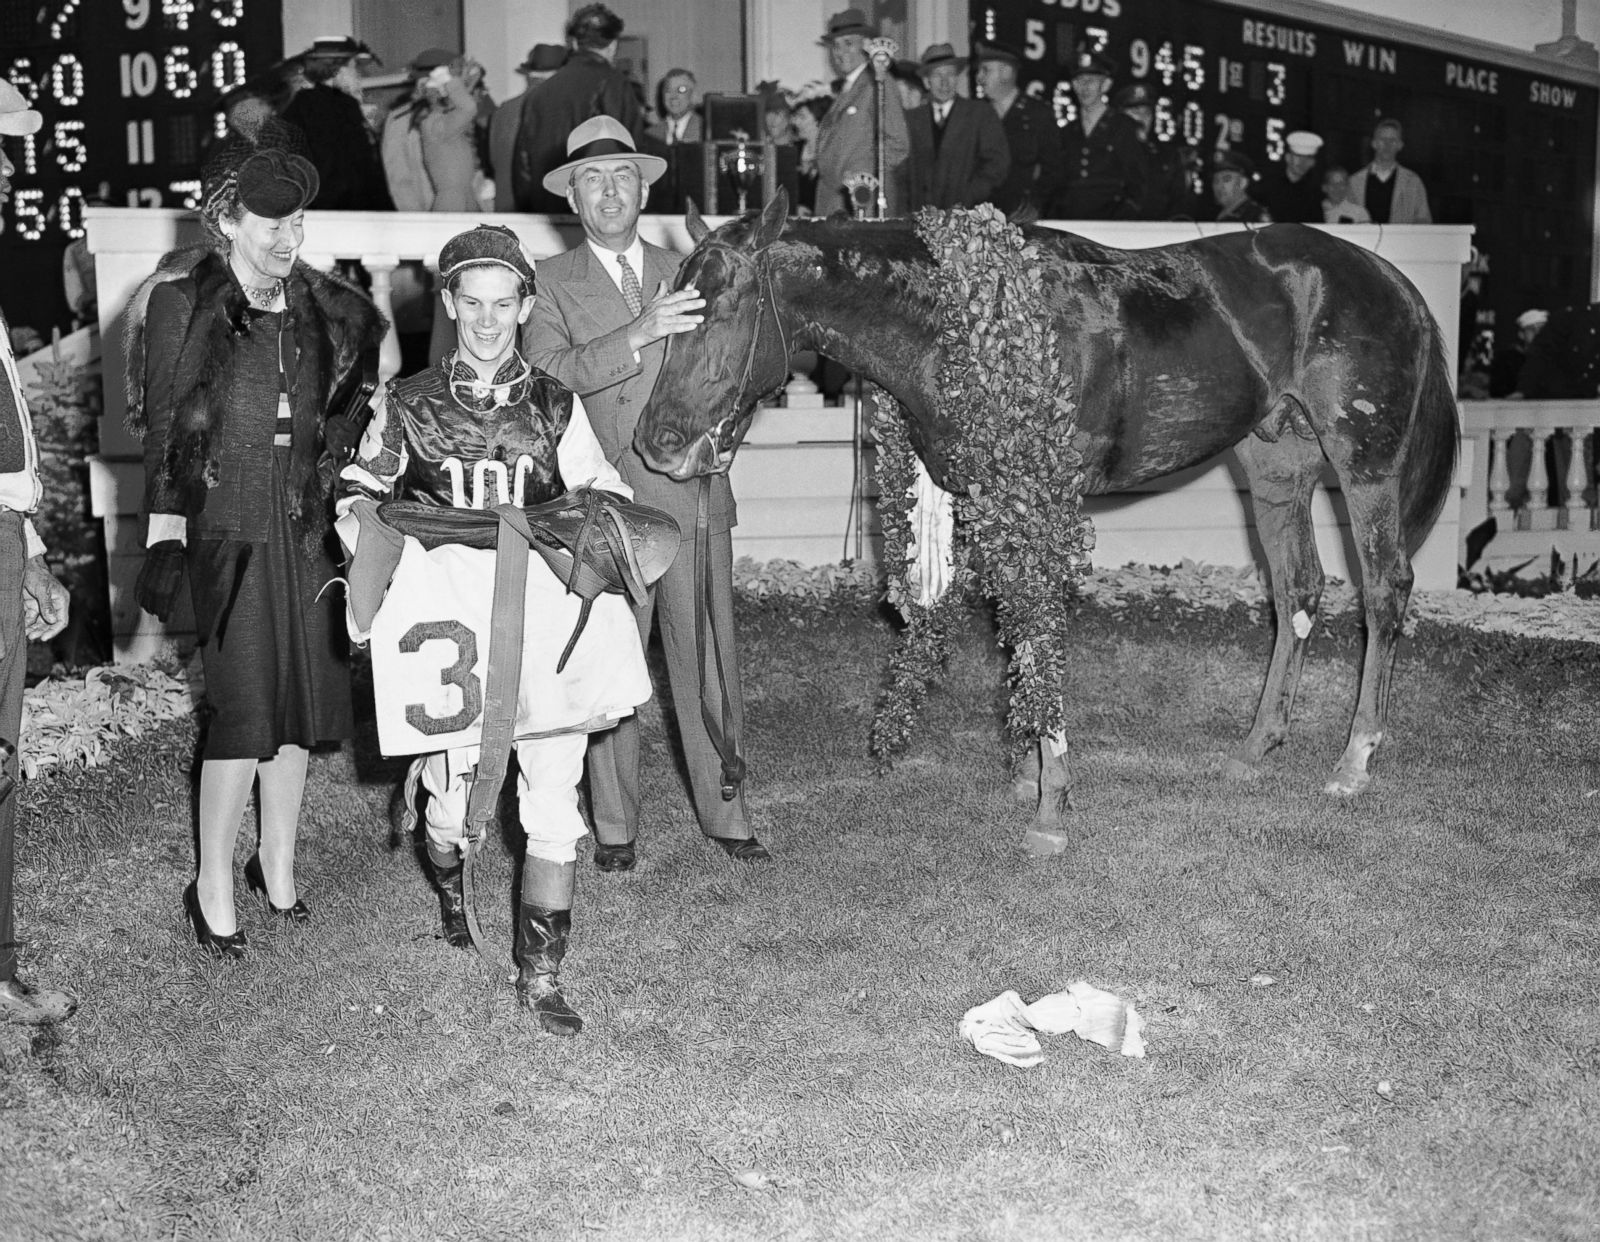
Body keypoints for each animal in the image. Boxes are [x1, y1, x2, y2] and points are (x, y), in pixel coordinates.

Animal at [630, 193, 1459, 851]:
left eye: (721, 311)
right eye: (670, 312)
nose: (654, 442)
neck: (963, 323)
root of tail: (1393, 282)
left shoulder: (1037, 498)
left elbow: (1038, 628)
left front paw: (1051, 808)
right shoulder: (994, 501)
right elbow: (1021, 636)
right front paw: (1029, 773)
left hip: (1366, 466)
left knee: (1384, 591)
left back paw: (1353, 762)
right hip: (1277, 465)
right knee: (1298, 593)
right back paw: (1256, 747)